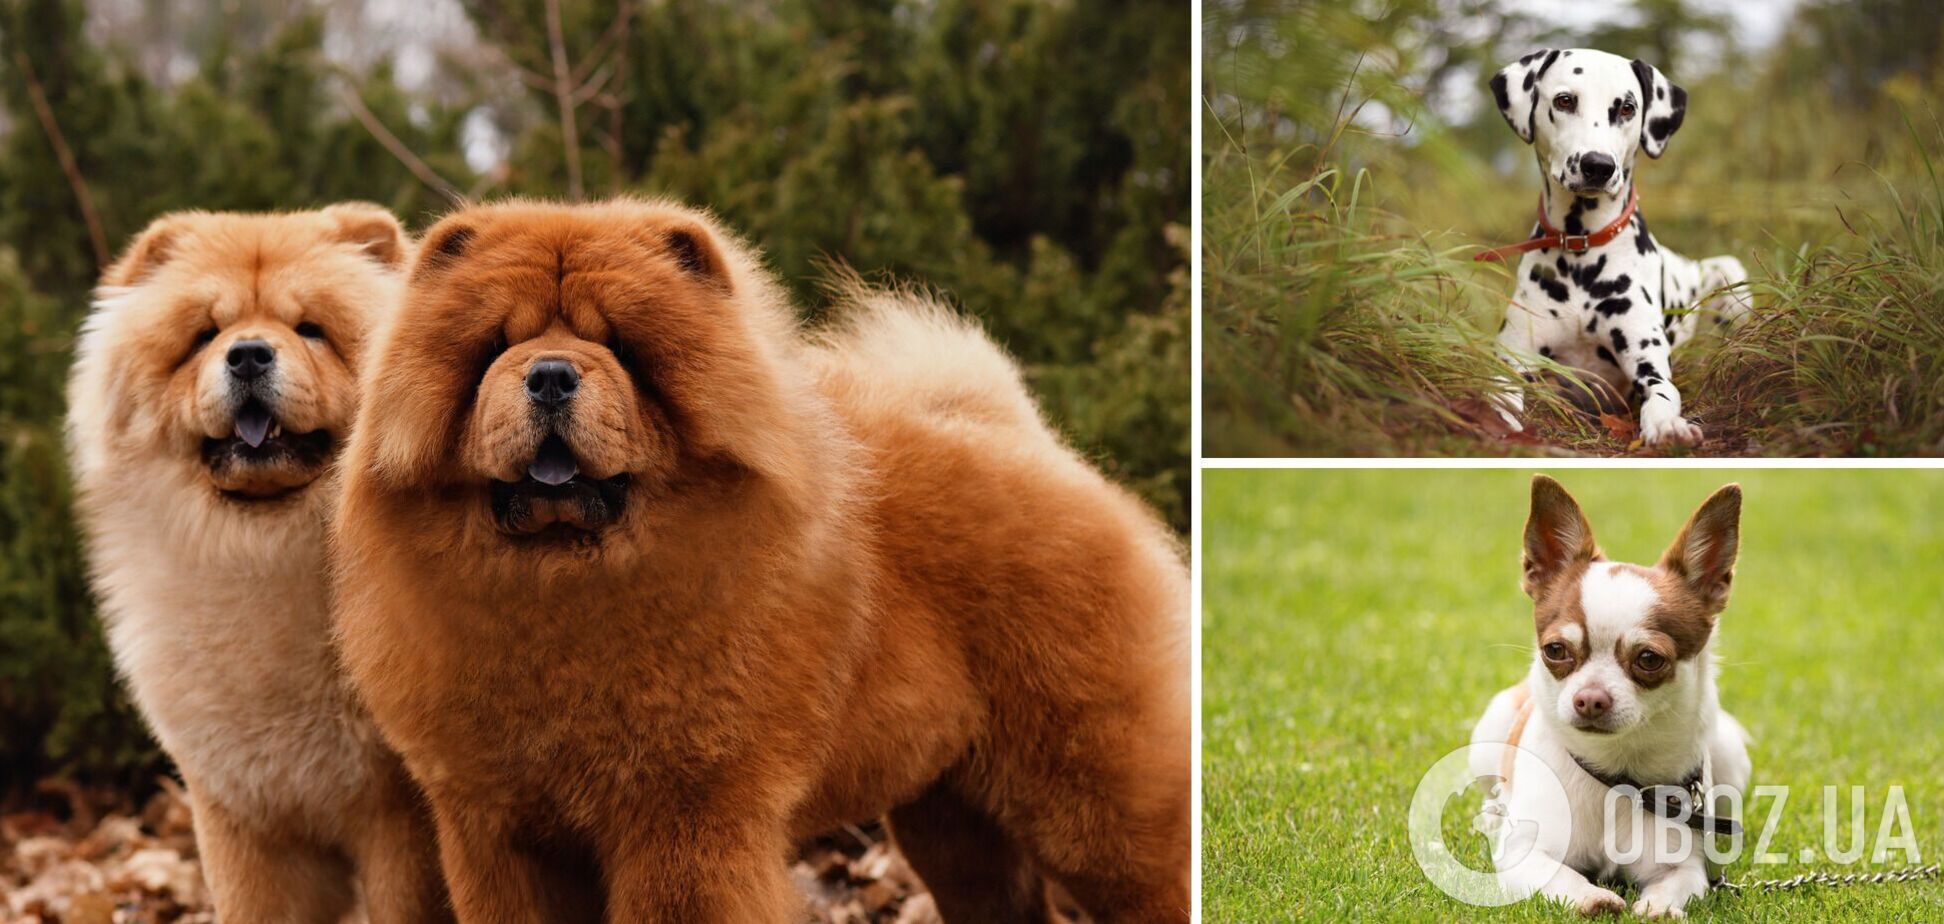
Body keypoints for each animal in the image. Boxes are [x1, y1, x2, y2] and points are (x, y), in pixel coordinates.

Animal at [330, 199, 1181, 922]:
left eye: (622, 349)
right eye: (497, 348)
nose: (549, 373)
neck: (563, 590)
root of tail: (1039, 448)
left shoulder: (686, 815)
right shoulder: (497, 830)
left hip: (1087, 792)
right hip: (949, 815)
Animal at [1461, 476, 1757, 918]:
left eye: (1649, 659)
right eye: (1555, 650)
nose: (1590, 699)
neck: (1616, 775)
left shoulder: (1682, 866)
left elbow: (1679, 884)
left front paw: (1658, 908)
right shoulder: (1523, 855)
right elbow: (1559, 876)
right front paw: (1592, 897)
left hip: (1728, 757)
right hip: (1489, 734)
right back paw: (1495, 812)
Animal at [1485, 50, 1749, 449]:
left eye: (1626, 107)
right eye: (1565, 101)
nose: (1598, 165)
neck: (1581, 246)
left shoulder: (1648, 365)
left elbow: (1663, 395)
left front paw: (1668, 427)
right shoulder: (1513, 359)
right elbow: (1498, 395)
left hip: (1729, 274)